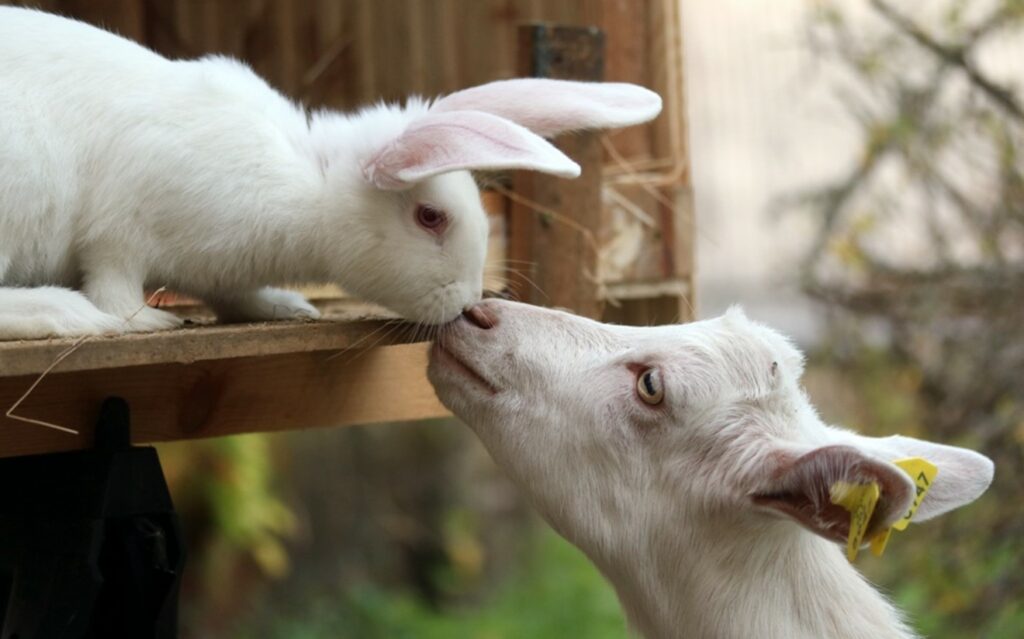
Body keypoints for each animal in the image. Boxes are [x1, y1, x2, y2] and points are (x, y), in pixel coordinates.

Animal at [0, 7, 663, 342]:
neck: (307, 190)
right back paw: (64, 314)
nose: (469, 303)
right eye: (430, 217)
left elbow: (235, 295)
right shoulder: (122, 228)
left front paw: (285, 308)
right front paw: (143, 319)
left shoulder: (219, 269)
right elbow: (116, 282)